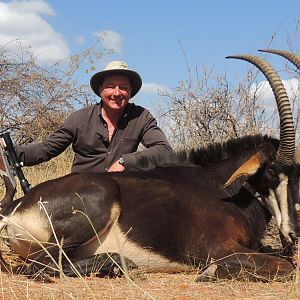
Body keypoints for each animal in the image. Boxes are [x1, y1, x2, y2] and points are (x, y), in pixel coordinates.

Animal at [0, 49, 298, 282]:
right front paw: (210, 272)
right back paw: (120, 264)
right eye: (271, 171)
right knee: (39, 266)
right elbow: (286, 267)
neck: (222, 188)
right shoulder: (217, 248)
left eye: (298, 174)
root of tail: (15, 209)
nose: (293, 235)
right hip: (98, 200)